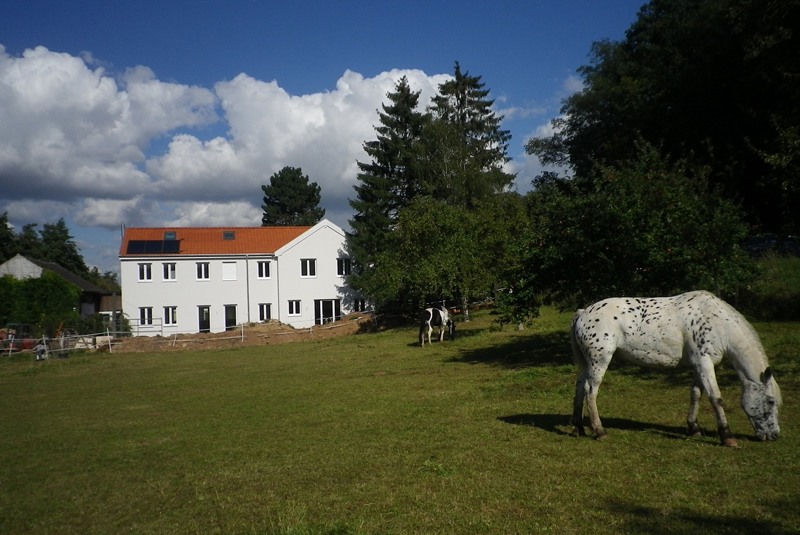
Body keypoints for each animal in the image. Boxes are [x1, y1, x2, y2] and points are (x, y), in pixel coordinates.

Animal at [568, 292, 780, 446]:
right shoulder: (705, 363)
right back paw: (599, 431)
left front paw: (693, 428)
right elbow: (716, 398)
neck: (717, 322)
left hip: (588, 364)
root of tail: (583, 312)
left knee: (579, 388)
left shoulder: (698, 366)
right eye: (770, 401)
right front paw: (727, 437)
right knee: (590, 392)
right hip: (599, 361)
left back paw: (578, 428)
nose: (775, 435)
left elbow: (696, 394)